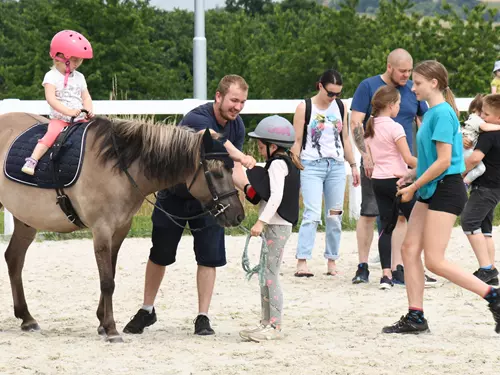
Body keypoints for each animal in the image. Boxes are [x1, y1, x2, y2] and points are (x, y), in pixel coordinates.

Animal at [0, 113, 244, 346]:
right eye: (217, 173)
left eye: (232, 169)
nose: (238, 215)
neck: (118, 167)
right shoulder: (101, 230)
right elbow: (107, 282)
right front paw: (111, 329)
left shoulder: (119, 231)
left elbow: (111, 274)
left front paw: (102, 323)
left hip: (25, 220)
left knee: (14, 259)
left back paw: (27, 318)